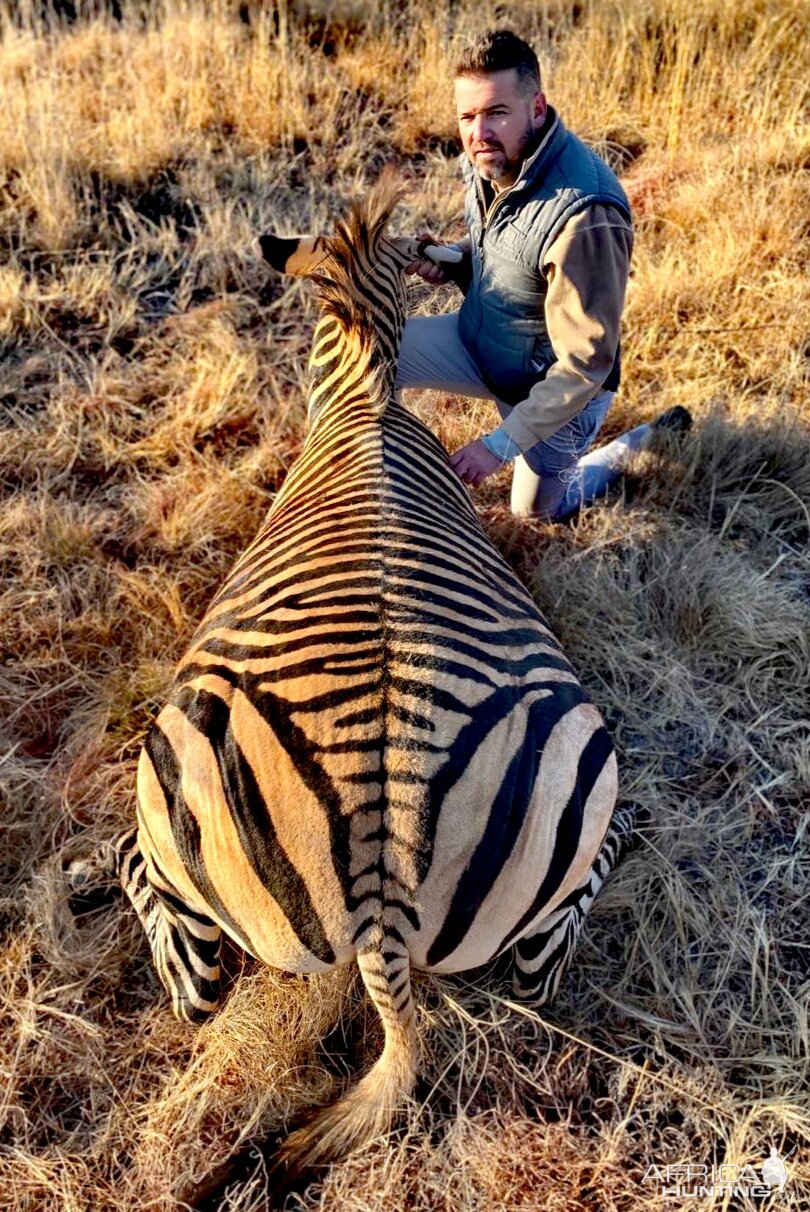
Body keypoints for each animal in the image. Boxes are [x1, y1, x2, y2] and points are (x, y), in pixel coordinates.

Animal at [69, 184, 640, 1197]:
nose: (458, 253)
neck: (366, 395)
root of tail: (382, 895)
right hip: (565, 769)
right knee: (541, 969)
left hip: (174, 777)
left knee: (186, 966)